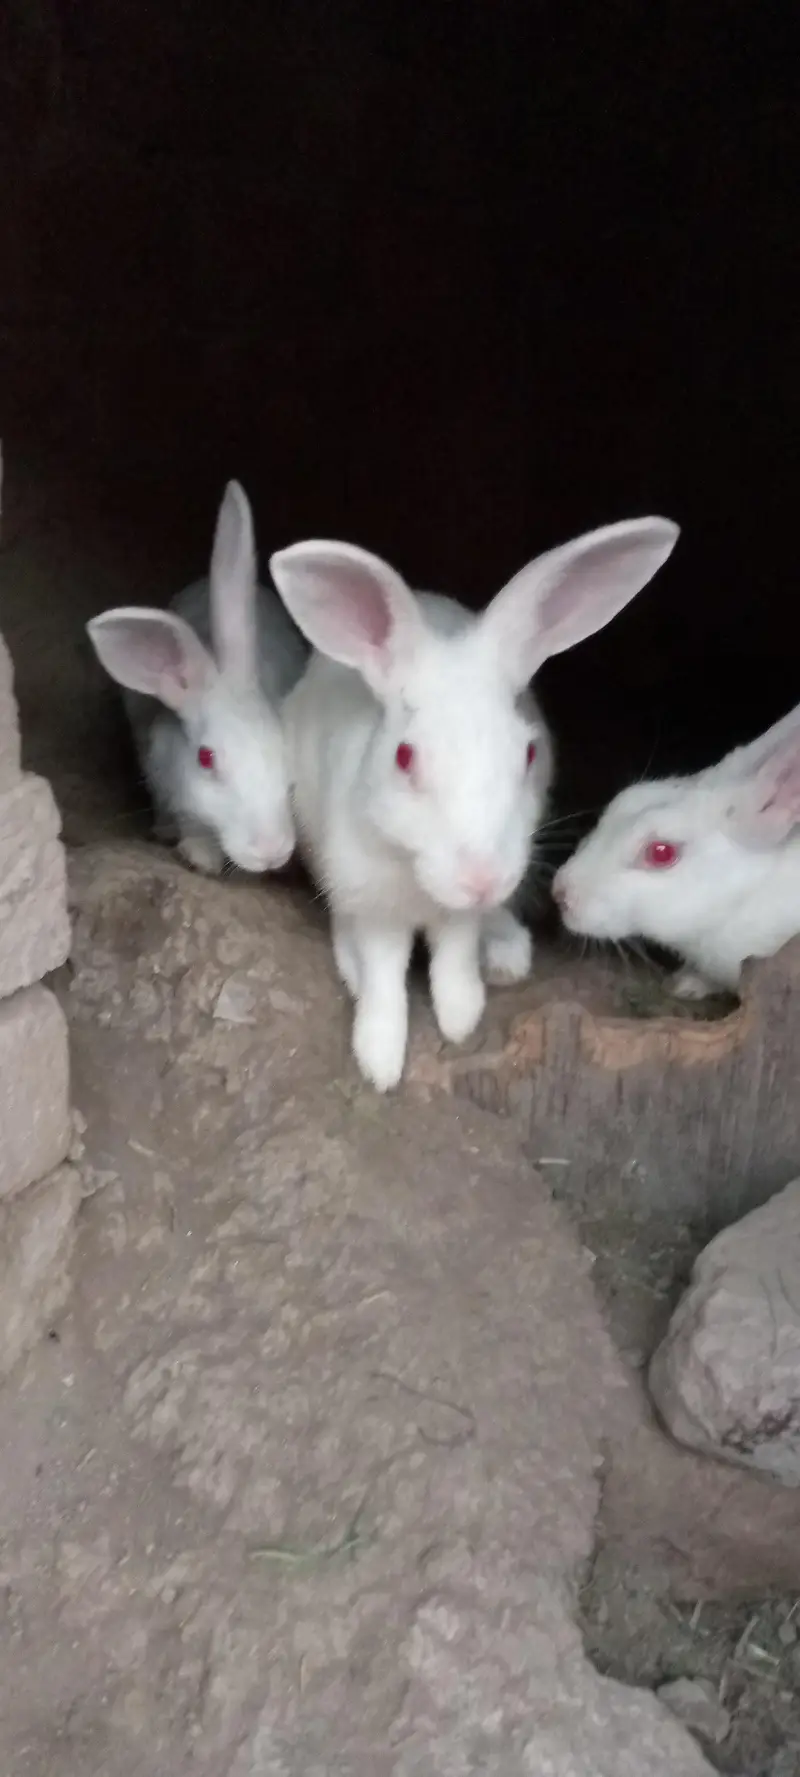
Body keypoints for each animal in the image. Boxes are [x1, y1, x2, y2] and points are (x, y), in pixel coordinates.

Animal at [270, 516, 679, 1089]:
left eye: (528, 751)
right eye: (404, 756)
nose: (481, 879)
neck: (421, 883)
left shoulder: (460, 918)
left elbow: (454, 961)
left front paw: (460, 1018)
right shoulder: (373, 906)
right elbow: (384, 978)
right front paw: (379, 1062)